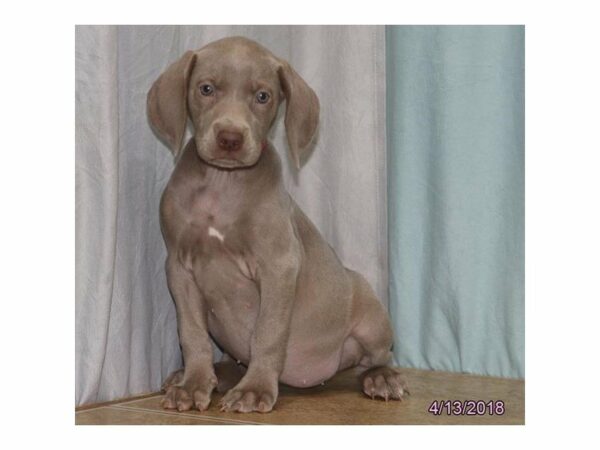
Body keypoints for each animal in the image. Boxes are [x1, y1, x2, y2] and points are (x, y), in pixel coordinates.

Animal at [146, 37, 408, 414]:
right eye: (206, 89)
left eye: (263, 96)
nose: (230, 138)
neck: (221, 182)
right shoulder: (179, 268)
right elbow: (192, 332)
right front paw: (193, 384)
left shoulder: (278, 265)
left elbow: (268, 332)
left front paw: (254, 390)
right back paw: (211, 375)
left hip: (371, 313)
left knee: (376, 358)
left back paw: (382, 378)